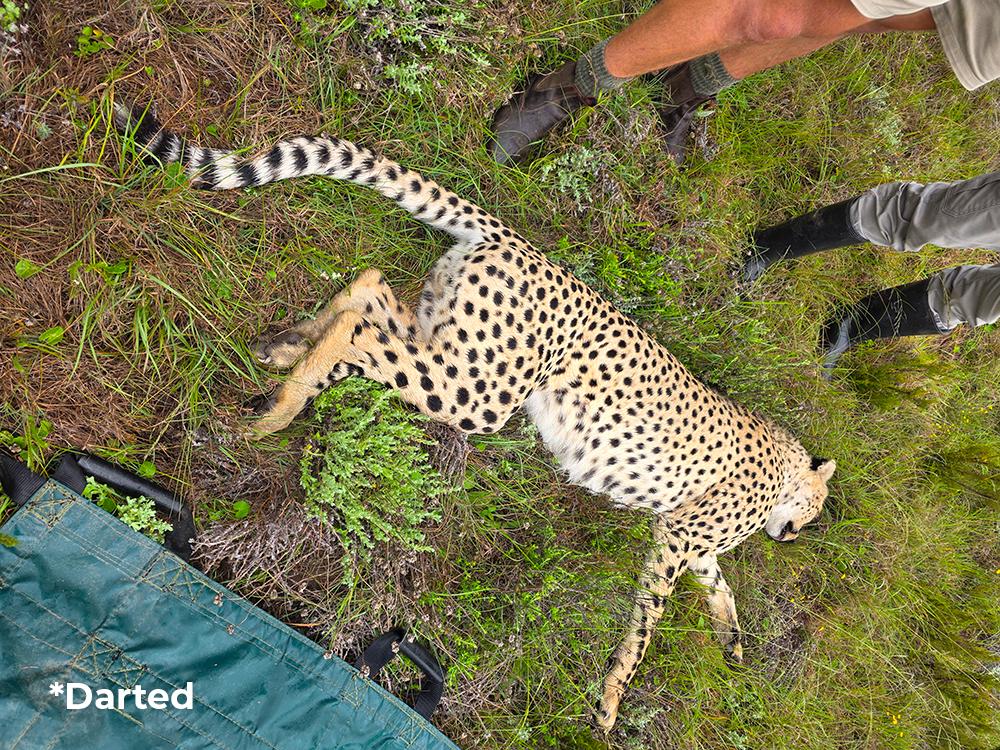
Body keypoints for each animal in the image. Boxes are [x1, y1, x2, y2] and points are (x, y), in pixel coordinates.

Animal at [115, 102, 836, 731]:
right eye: (813, 513)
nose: (792, 536)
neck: (785, 465)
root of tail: (526, 247)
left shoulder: (689, 541)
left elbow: (720, 587)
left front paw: (732, 641)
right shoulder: (678, 539)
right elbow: (647, 627)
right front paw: (611, 700)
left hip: (448, 335)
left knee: (369, 290)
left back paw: (286, 351)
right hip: (479, 390)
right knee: (362, 333)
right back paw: (278, 412)